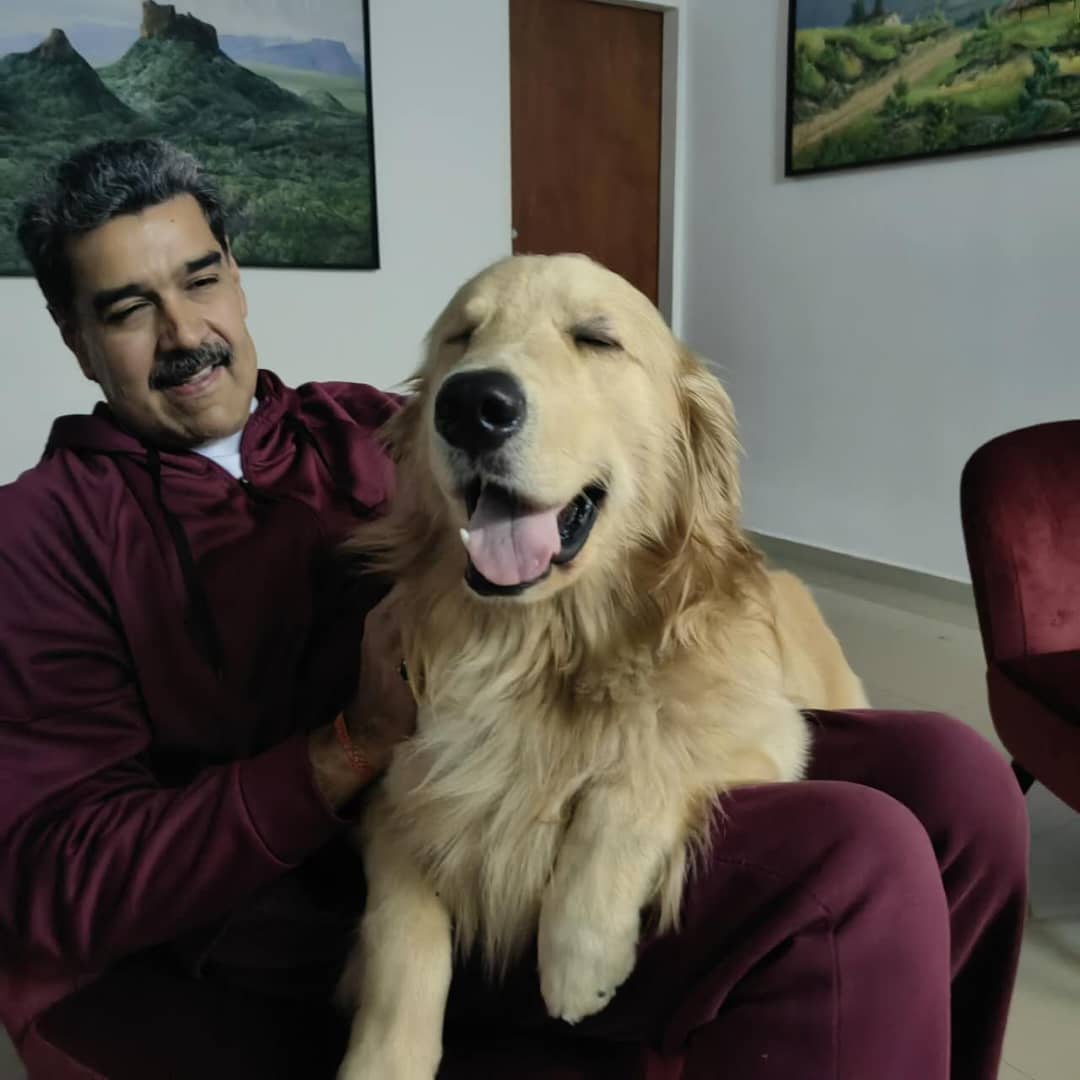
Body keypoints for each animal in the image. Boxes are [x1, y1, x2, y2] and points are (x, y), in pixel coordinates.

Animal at [332, 254, 864, 1080]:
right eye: (460, 336)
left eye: (596, 339)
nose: (471, 406)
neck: (546, 650)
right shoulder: (397, 792)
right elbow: (401, 939)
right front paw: (383, 1061)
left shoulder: (766, 733)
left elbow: (634, 776)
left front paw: (580, 958)